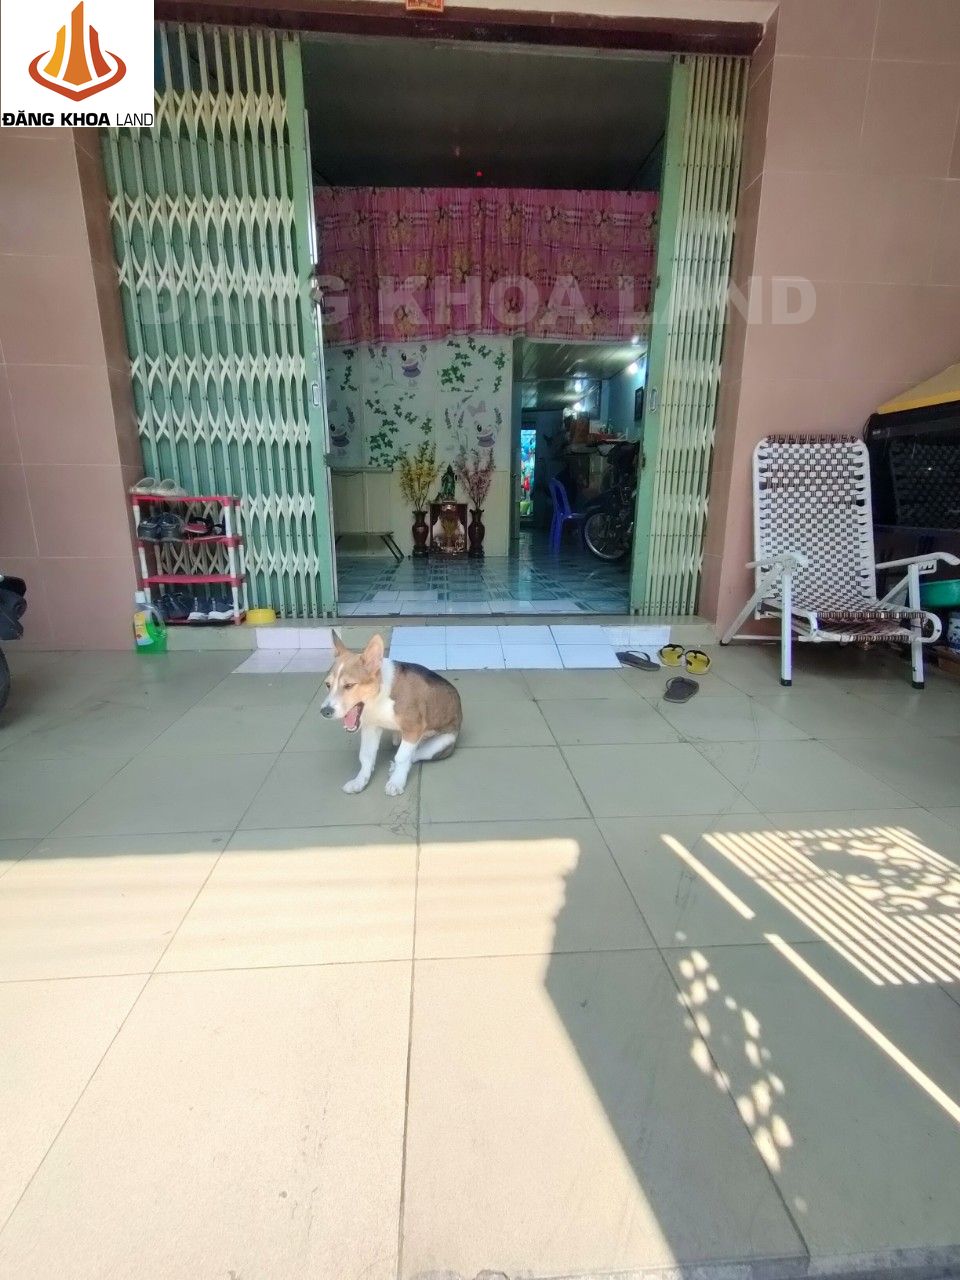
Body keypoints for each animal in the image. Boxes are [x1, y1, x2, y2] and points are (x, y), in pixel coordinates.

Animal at [320, 632, 462, 796]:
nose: (325, 711)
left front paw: (396, 782)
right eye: (328, 685)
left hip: (441, 743)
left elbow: (402, 757)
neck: (379, 697)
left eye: (349, 685)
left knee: (414, 755)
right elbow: (366, 756)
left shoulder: (412, 729)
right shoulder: (370, 728)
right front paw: (360, 781)